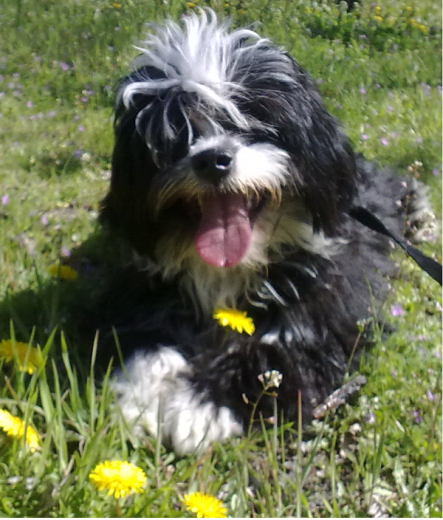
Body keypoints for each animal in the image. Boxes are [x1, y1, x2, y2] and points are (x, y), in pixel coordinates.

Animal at [97, 9, 438, 456]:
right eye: (178, 135)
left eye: (254, 121)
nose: (213, 158)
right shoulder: (142, 289)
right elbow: (147, 342)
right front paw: (140, 397)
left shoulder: (329, 310)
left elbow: (271, 355)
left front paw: (198, 404)